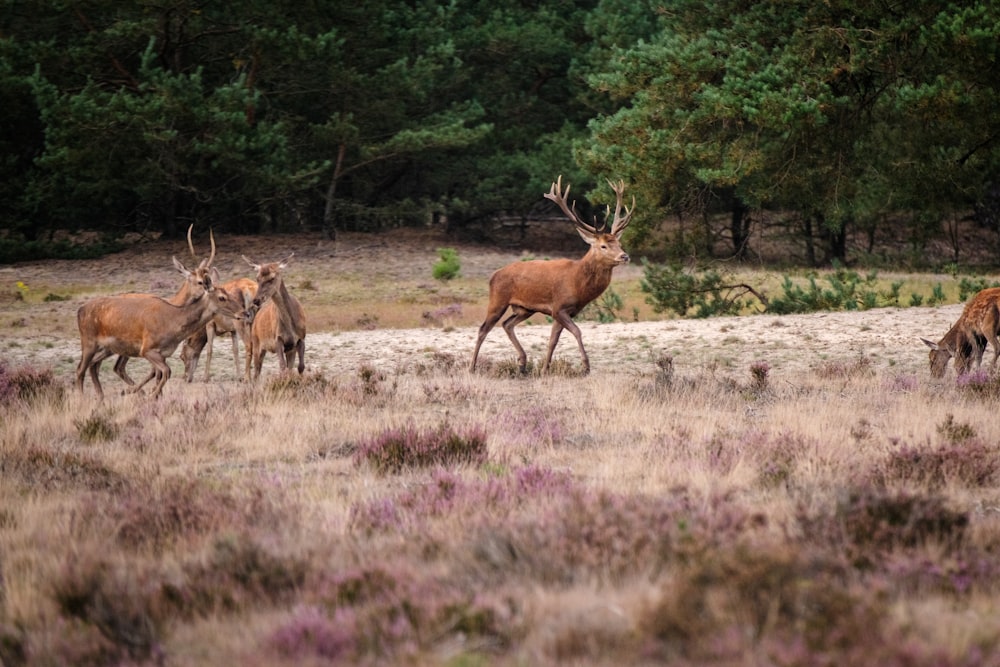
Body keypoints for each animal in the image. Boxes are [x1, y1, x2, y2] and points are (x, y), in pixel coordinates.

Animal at [75, 258, 245, 400]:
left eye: (229, 293)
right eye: (222, 297)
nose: (244, 312)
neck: (173, 326)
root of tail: (79, 310)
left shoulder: (163, 353)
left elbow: (162, 374)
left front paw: (154, 395)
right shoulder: (147, 349)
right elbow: (166, 372)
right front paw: (151, 395)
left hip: (107, 348)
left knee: (93, 365)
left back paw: (101, 396)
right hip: (89, 341)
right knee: (81, 369)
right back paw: (83, 398)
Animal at [468, 176, 632, 376]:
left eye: (619, 243)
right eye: (603, 246)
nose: (624, 256)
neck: (578, 286)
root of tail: (493, 275)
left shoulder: (564, 311)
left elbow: (553, 340)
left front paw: (545, 369)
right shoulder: (559, 307)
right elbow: (577, 332)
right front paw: (586, 366)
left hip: (524, 308)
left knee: (507, 324)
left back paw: (522, 362)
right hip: (498, 300)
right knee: (483, 329)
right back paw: (472, 367)